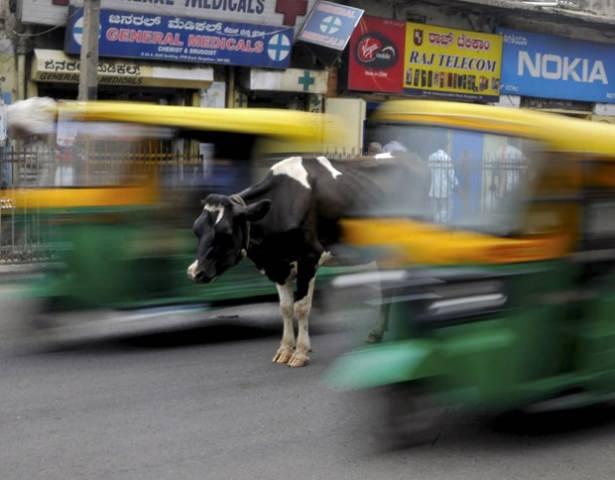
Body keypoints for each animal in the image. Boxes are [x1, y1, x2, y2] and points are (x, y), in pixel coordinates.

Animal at [188, 154, 428, 368]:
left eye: (225, 233)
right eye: (197, 230)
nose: (195, 272)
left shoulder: (309, 258)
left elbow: (301, 307)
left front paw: (301, 353)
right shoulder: (280, 265)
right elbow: (286, 308)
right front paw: (284, 350)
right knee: (389, 286)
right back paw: (378, 332)